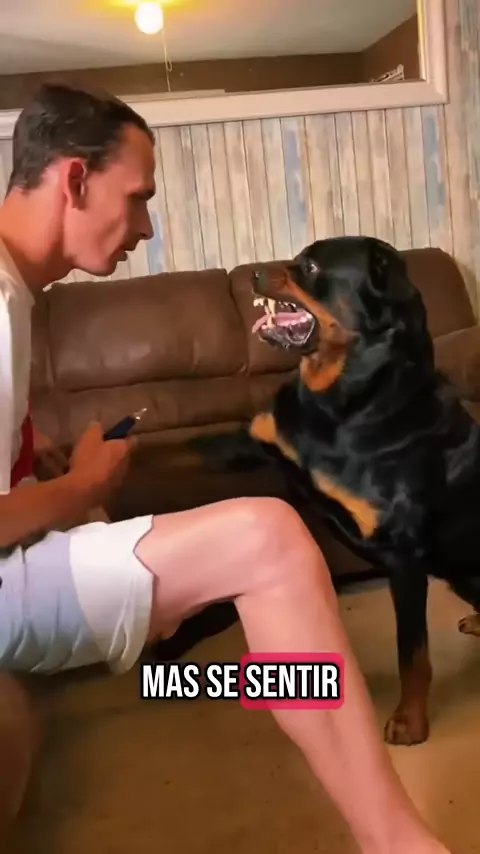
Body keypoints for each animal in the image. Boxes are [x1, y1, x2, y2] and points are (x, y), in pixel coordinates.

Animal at [191, 234, 480, 746]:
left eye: (309, 266)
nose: (254, 274)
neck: (342, 400)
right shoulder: (253, 444)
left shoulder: (404, 558)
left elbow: (413, 652)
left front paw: (410, 720)